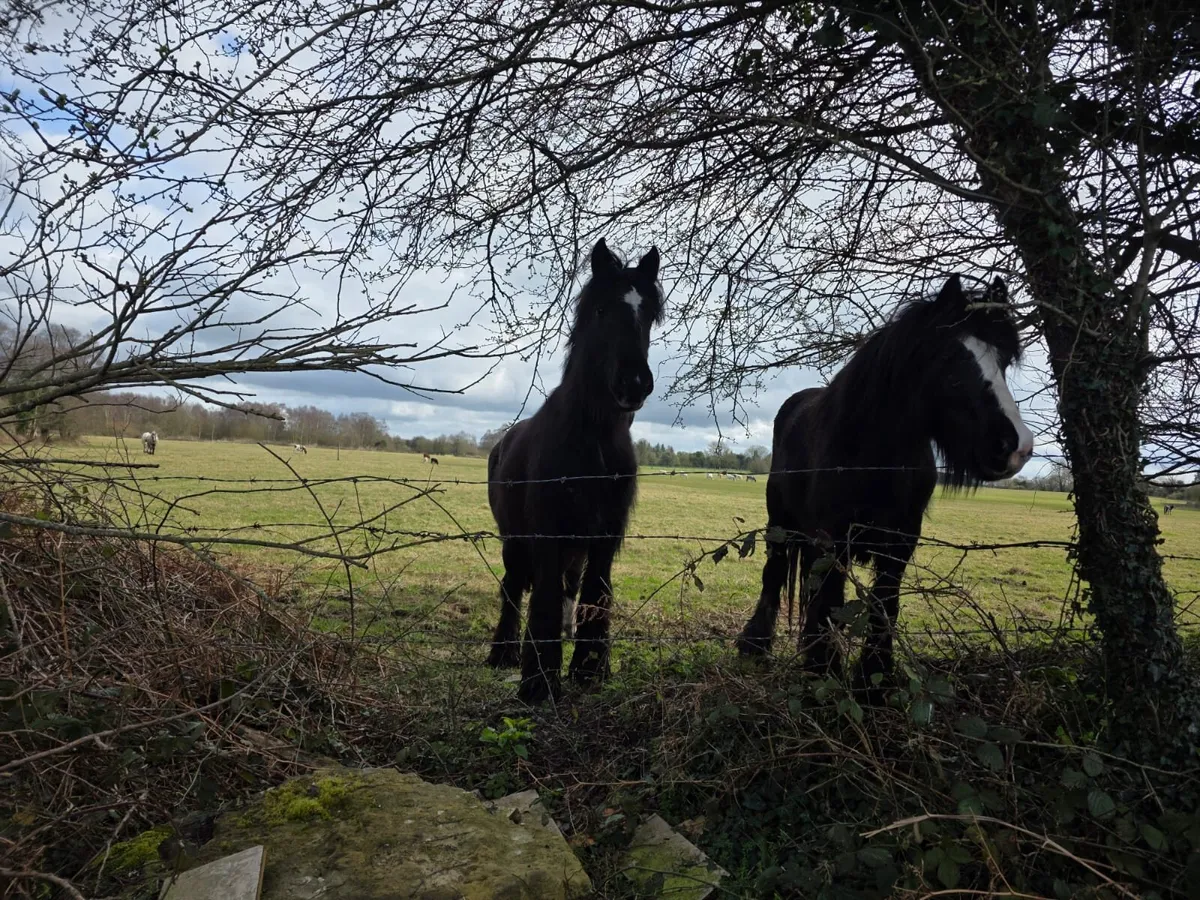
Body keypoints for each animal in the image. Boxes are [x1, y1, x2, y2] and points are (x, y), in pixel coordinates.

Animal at [485, 237, 664, 703]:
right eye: (601, 309)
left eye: (647, 314)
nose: (634, 384)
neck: (593, 443)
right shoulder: (548, 534)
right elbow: (544, 600)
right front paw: (538, 682)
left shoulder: (603, 538)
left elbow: (596, 595)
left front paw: (589, 670)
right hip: (514, 540)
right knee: (513, 586)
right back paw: (502, 653)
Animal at [736, 274, 1034, 702]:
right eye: (948, 358)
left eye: (1004, 362)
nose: (1016, 446)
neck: (875, 457)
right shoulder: (832, 538)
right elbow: (828, 601)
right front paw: (823, 676)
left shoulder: (900, 541)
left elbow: (883, 604)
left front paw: (873, 681)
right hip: (782, 522)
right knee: (774, 571)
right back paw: (756, 643)